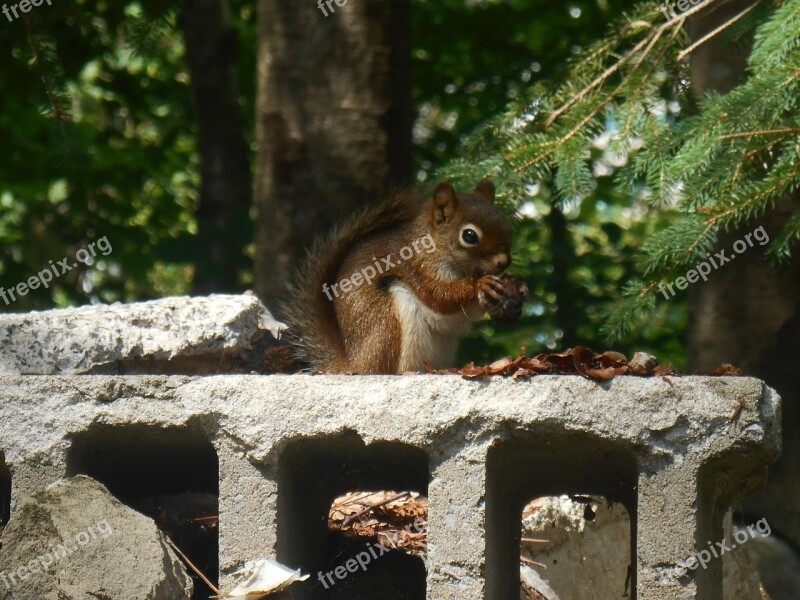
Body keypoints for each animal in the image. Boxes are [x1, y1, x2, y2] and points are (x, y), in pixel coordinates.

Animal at [284, 180, 528, 372]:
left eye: (505, 224)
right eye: (469, 236)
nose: (503, 262)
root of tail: (354, 365)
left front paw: (518, 288)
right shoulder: (417, 267)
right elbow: (440, 297)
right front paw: (480, 284)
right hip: (387, 322)